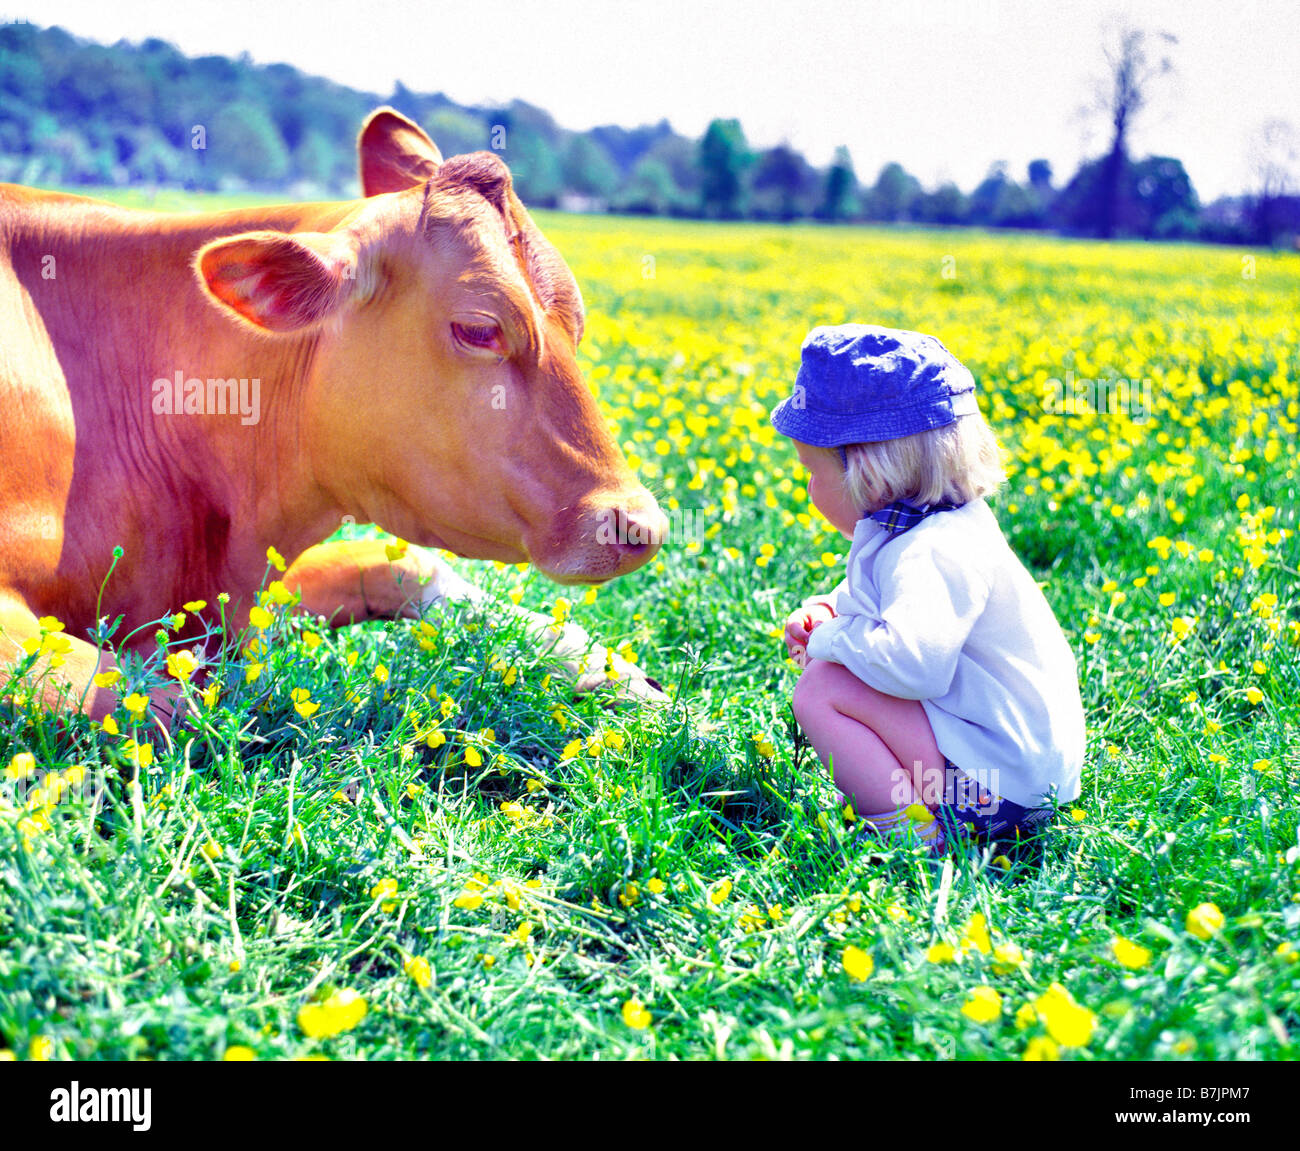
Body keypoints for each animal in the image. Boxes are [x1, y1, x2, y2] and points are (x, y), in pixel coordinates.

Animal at [0, 107, 665, 728]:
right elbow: (173, 702)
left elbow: (405, 563)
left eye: (577, 322)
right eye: (479, 329)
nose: (642, 525)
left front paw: (611, 670)